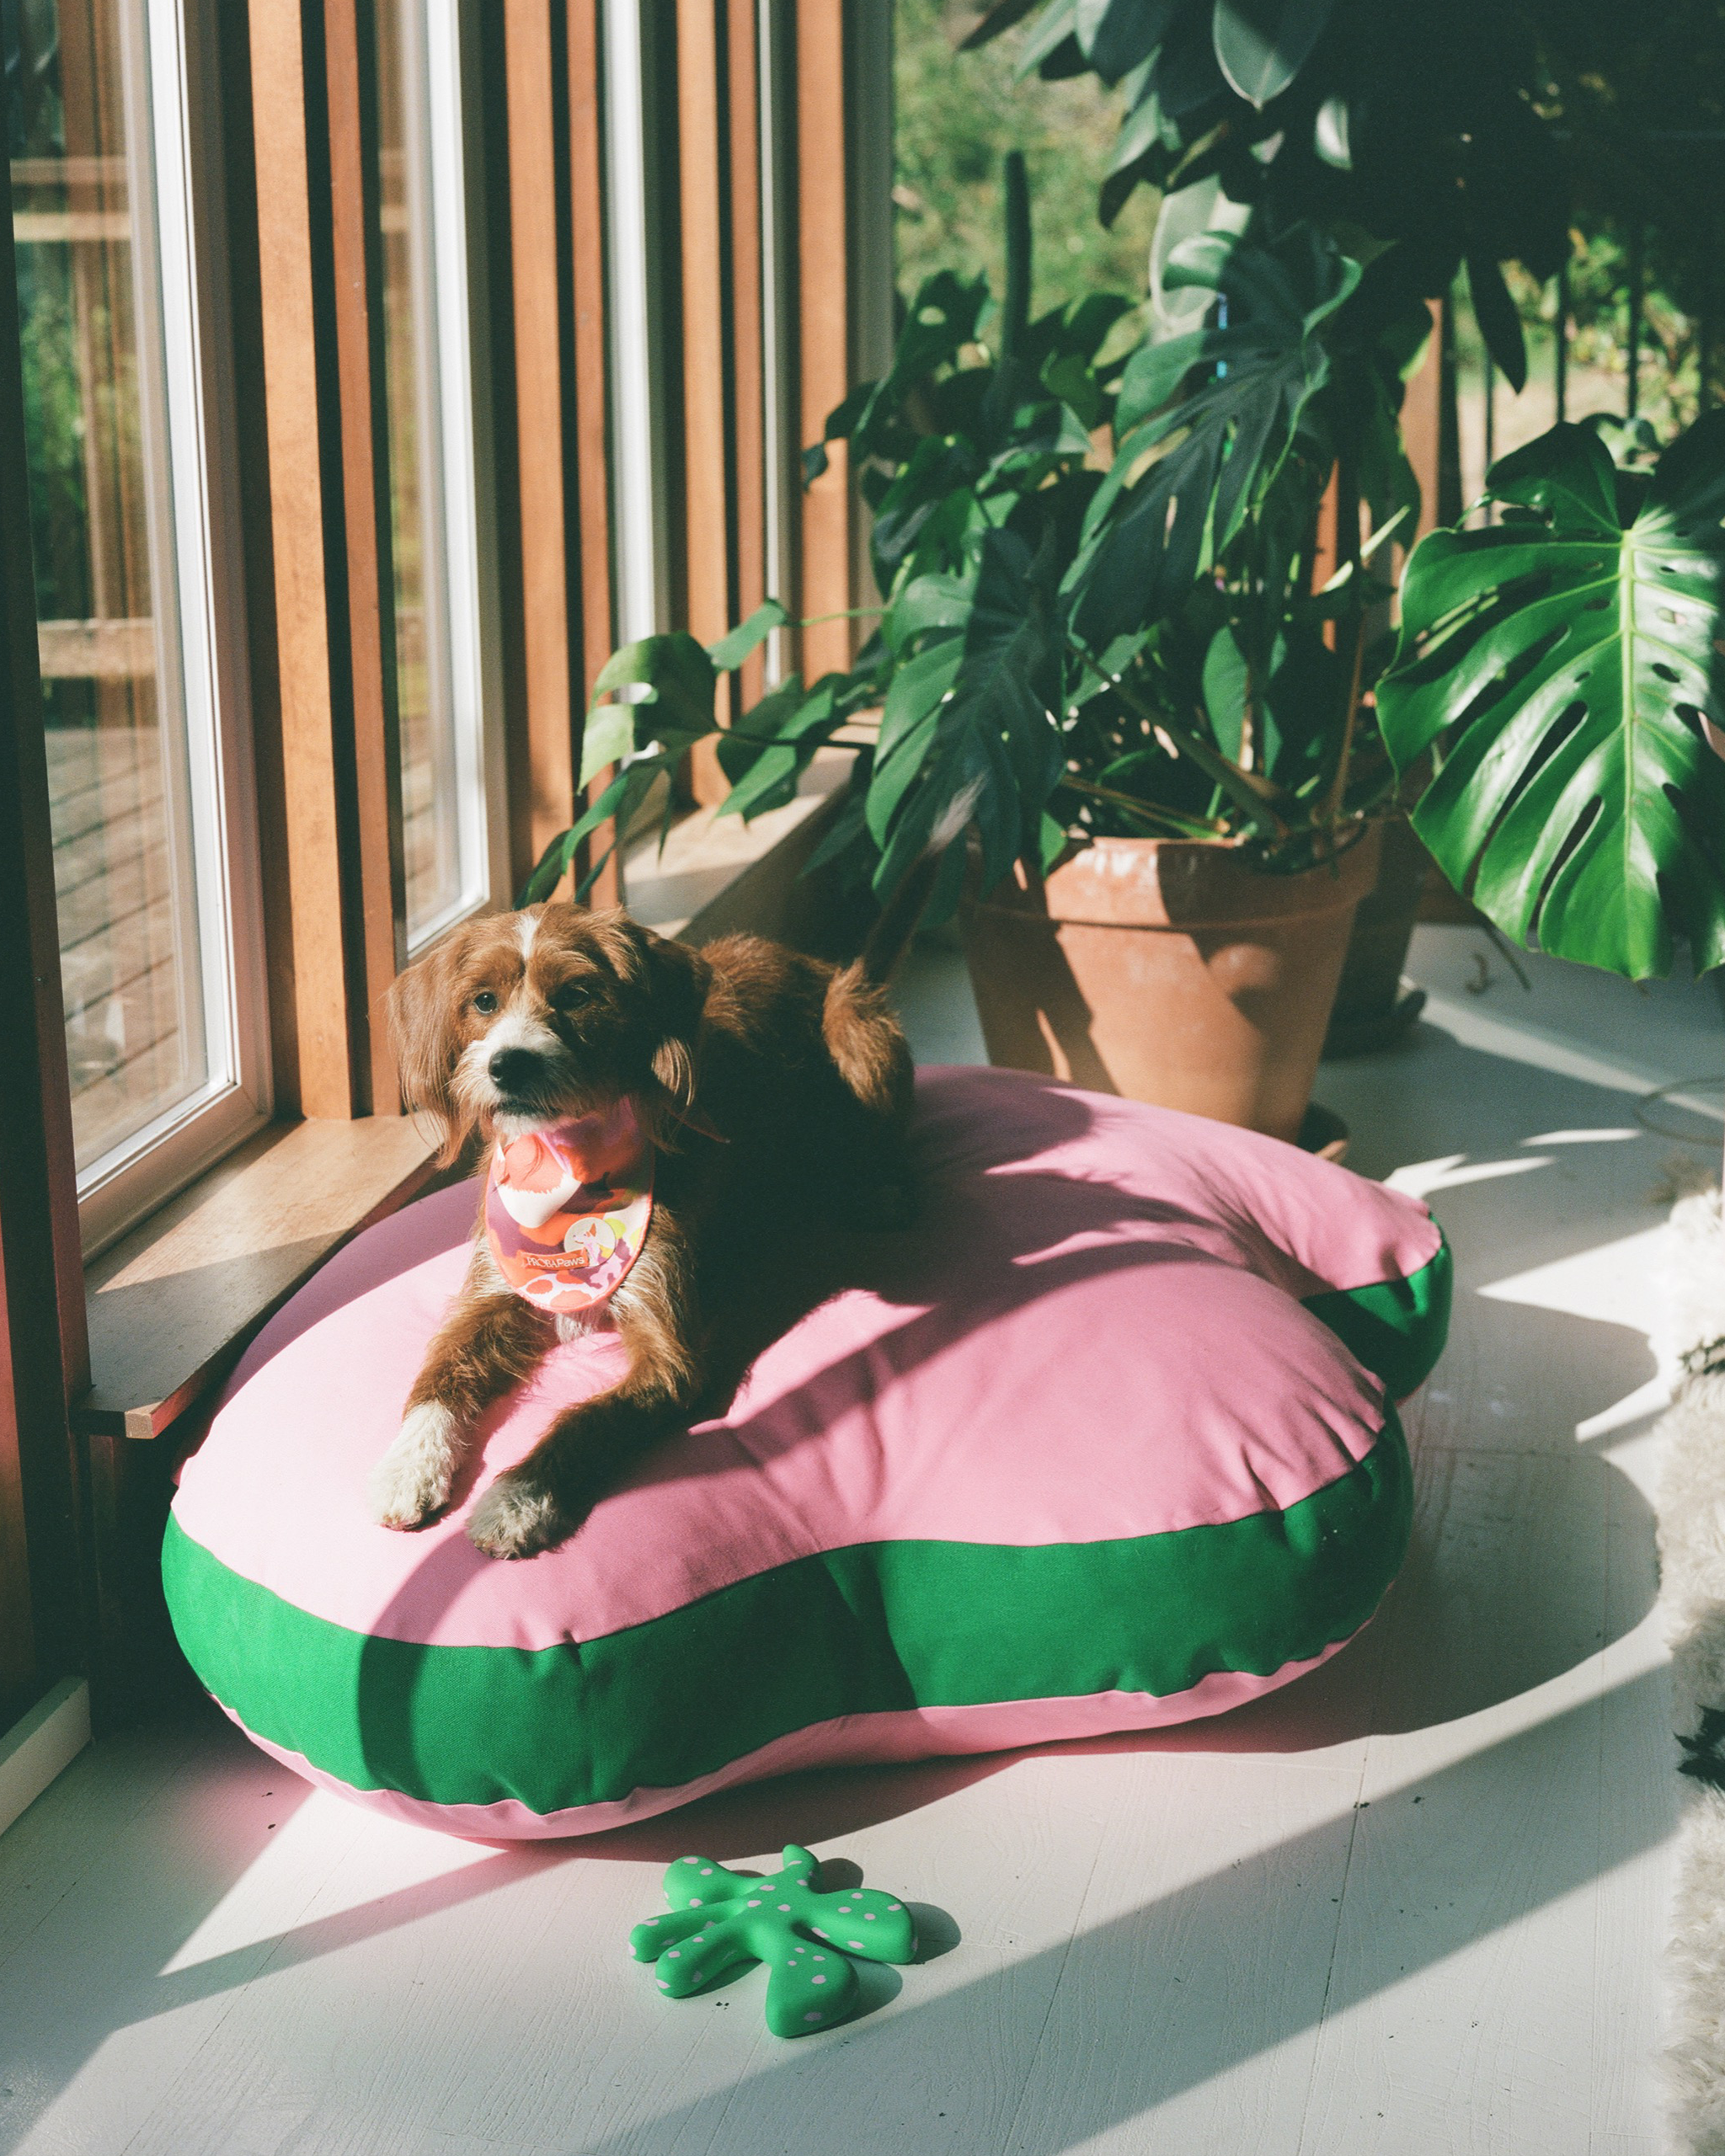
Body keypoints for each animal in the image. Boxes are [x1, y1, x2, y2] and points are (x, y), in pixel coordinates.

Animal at [364, 901, 914, 1561]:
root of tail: (806, 958)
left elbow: (589, 1417)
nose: (509, 1063)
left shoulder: (669, 1349)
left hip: (858, 1025)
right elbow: (438, 1372)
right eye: (483, 1001)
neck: (567, 1162)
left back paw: (877, 1189)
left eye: (577, 995)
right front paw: (408, 1465)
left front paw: (519, 1496)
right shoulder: (492, 1293)